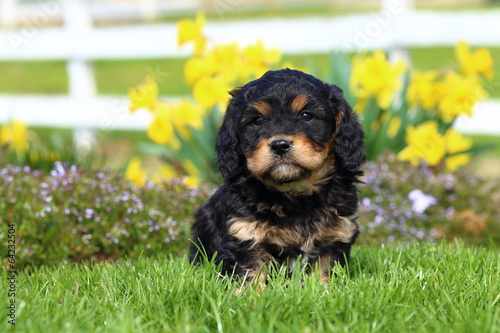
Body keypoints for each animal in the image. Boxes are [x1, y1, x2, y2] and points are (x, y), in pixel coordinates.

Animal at [189, 68, 366, 286]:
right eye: (257, 120)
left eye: (306, 115)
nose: (280, 145)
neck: (294, 194)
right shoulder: (244, 233)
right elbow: (250, 273)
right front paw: (248, 294)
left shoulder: (335, 234)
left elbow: (323, 271)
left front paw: (322, 290)